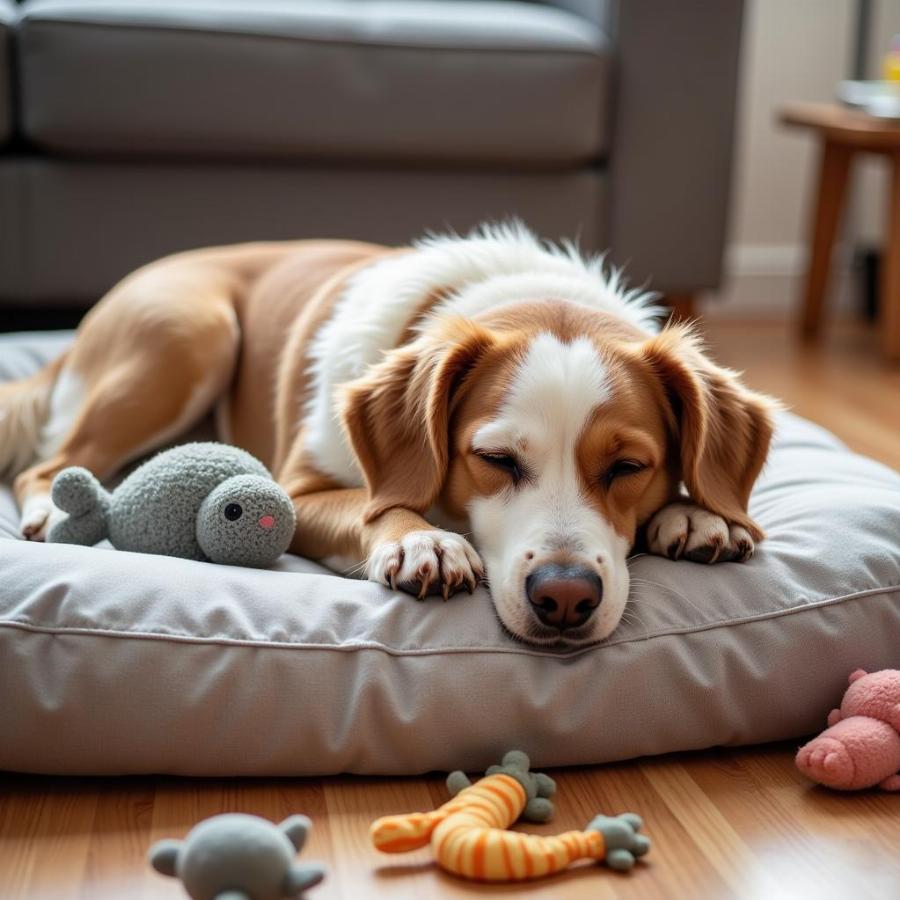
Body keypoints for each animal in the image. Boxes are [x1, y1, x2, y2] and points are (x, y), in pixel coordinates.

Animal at [0, 225, 772, 648]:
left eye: (629, 467)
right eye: (494, 459)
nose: (565, 597)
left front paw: (696, 514)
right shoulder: (299, 493)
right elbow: (377, 505)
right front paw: (423, 539)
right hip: (191, 334)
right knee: (47, 464)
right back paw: (47, 515)